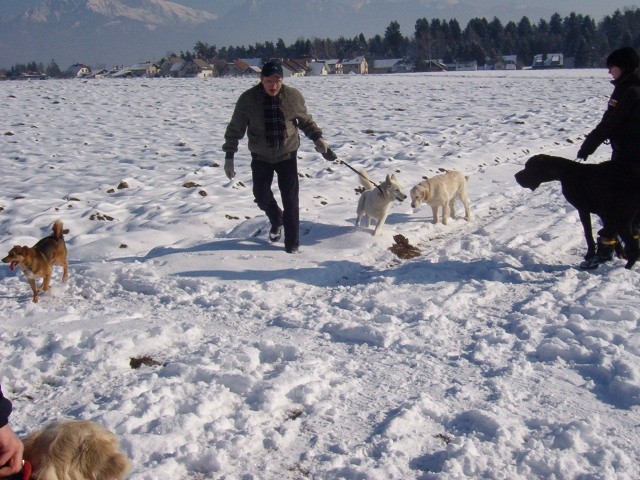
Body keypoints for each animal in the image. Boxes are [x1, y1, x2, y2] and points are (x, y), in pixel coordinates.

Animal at [512, 154, 640, 268]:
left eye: (528, 167)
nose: (516, 176)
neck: (566, 173)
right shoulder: (606, 213)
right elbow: (612, 235)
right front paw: (619, 253)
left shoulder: (583, 209)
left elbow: (588, 233)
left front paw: (590, 255)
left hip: (623, 219)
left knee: (632, 245)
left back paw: (627, 267)